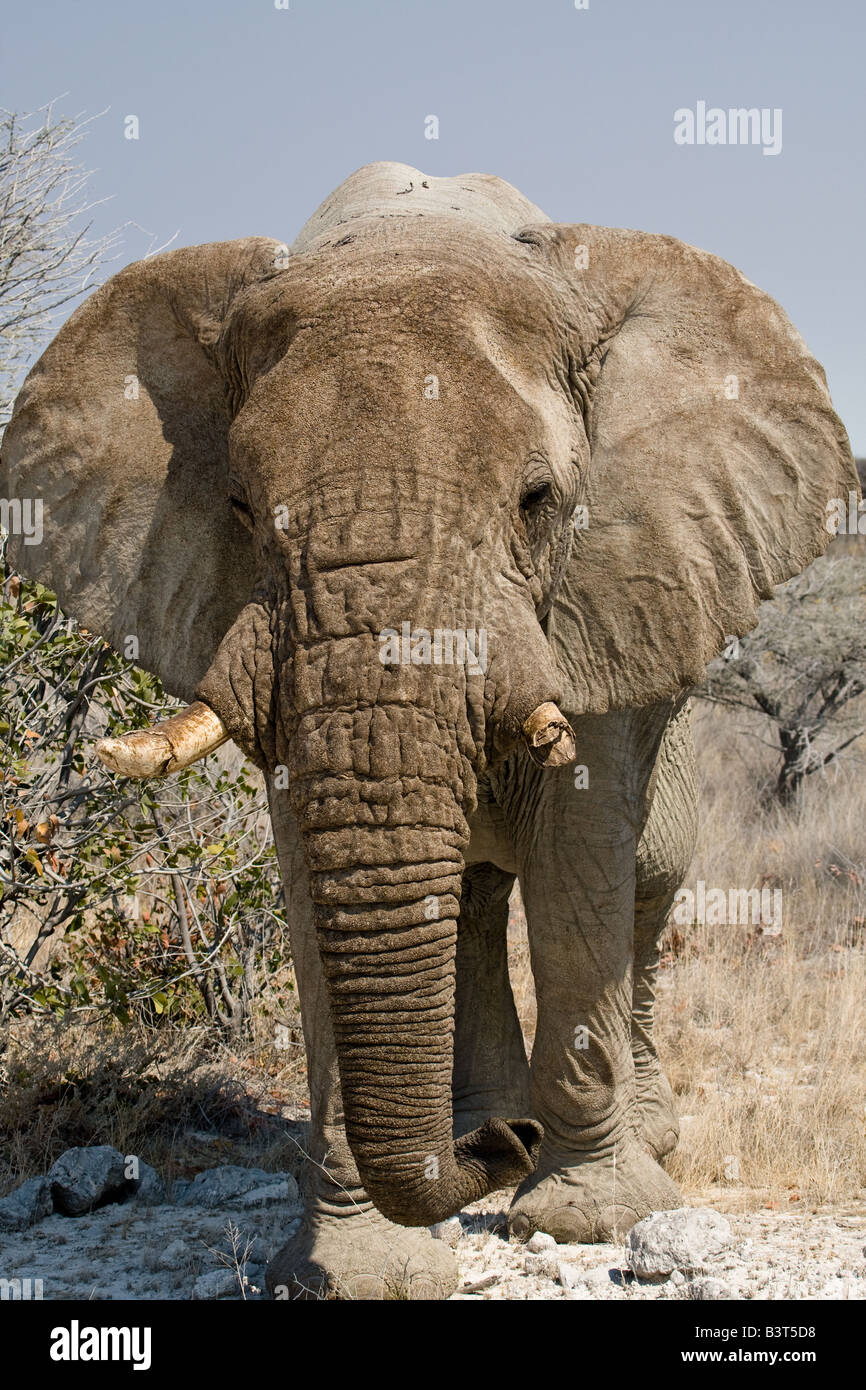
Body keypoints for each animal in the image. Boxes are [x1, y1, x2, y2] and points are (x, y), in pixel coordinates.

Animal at [0, 165, 856, 1301]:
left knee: (645, 874)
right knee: (475, 901)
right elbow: (315, 877)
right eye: (240, 507)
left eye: (539, 501)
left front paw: (589, 1218)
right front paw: (356, 1267)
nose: (501, 1148)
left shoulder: (606, 588)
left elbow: (580, 851)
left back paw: (624, 1139)